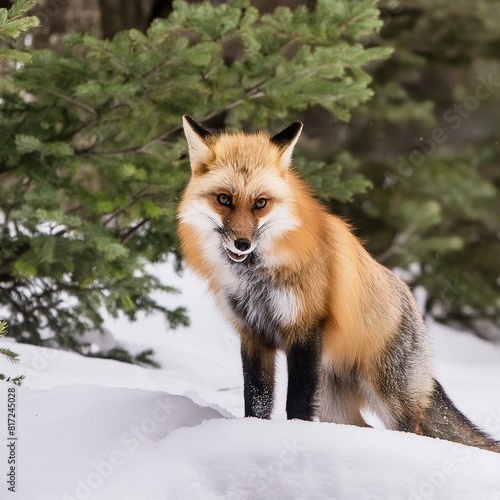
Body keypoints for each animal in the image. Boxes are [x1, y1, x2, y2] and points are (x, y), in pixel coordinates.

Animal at [178, 115, 498, 452]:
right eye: (224, 199)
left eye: (260, 203)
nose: (242, 244)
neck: (257, 278)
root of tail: (411, 301)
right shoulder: (253, 335)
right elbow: (257, 401)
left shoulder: (305, 330)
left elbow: (297, 404)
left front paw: (293, 437)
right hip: (336, 405)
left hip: (389, 398)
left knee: (413, 431)